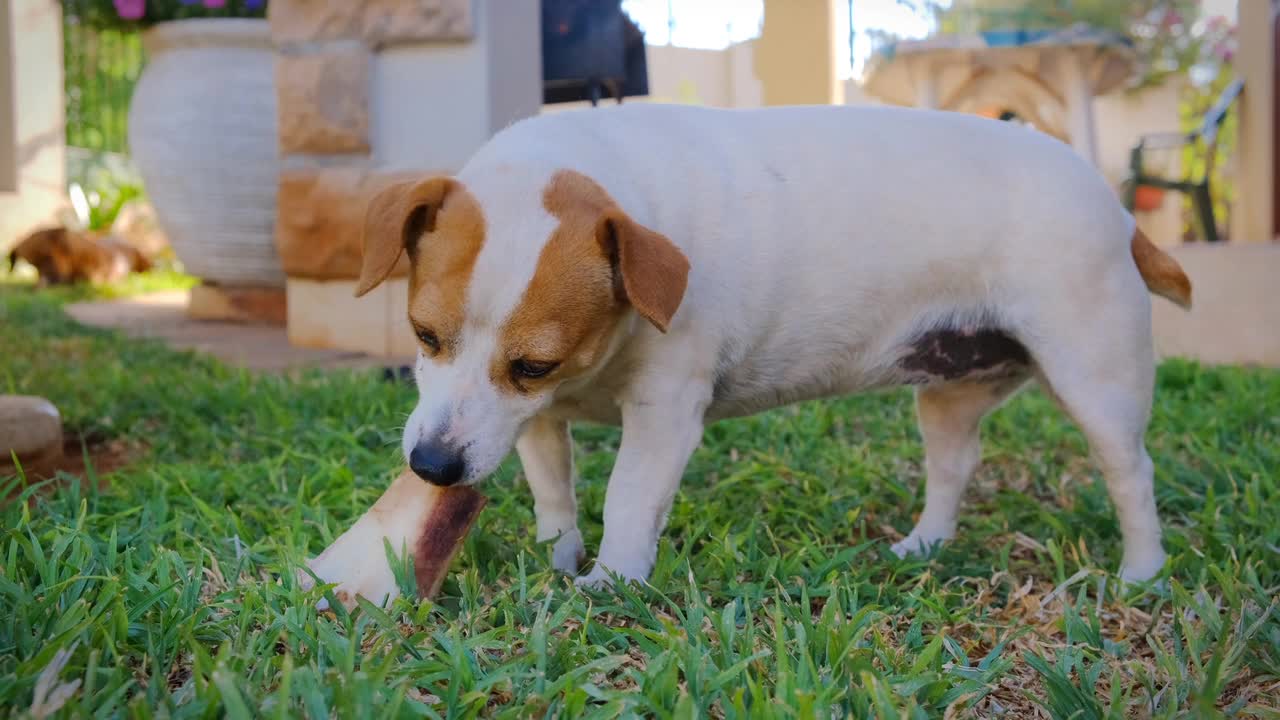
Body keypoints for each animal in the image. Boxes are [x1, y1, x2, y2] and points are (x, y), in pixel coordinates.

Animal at [299, 102, 1187, 599]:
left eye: (533, 364)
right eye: (425, 335)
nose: (433, 468)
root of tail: (1116, 207)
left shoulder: (658, 413)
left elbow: (629, 498)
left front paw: (609, 583)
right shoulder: (535, 422)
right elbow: (556, 493)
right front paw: (559, 559)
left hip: (1094, 377)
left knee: (1131, 474)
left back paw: (1143, 573)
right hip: (949, 389)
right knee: (952, 466)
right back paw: (924, 545)